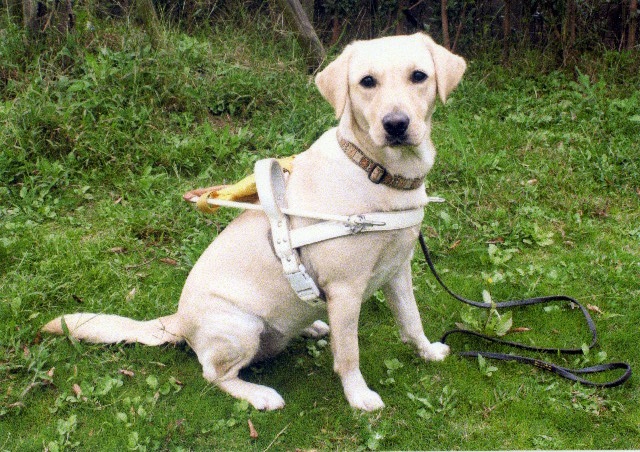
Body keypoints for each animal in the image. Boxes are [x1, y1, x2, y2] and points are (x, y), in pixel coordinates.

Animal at [43, 32, 466, 411]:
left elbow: (411, 322)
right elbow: (349, 355)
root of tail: (178, 321)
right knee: (214, 375)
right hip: (240, 327)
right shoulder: (346, 290)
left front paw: (428, 352)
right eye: (367, 82)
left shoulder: (398, 271)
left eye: (418, 76)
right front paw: (358, 397)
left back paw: (312, 325)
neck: (375, 172)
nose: (396, 124)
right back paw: (258, 394)